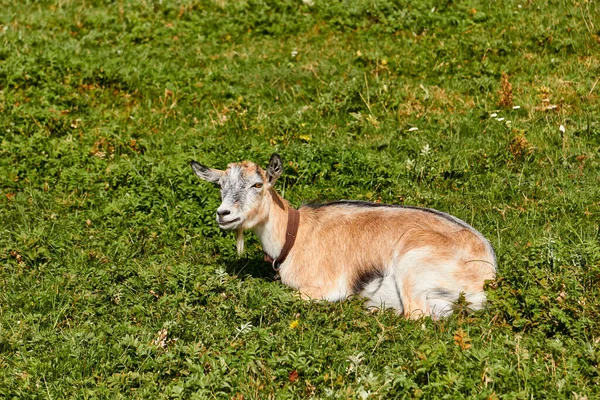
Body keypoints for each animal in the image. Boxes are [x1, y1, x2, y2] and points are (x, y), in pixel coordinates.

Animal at [191, 153, 496, 318]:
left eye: (257, 184)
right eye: (220, 185)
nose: (223, 214)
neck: (296, 235)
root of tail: (488, 273)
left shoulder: (325, 287)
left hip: (413, 266)